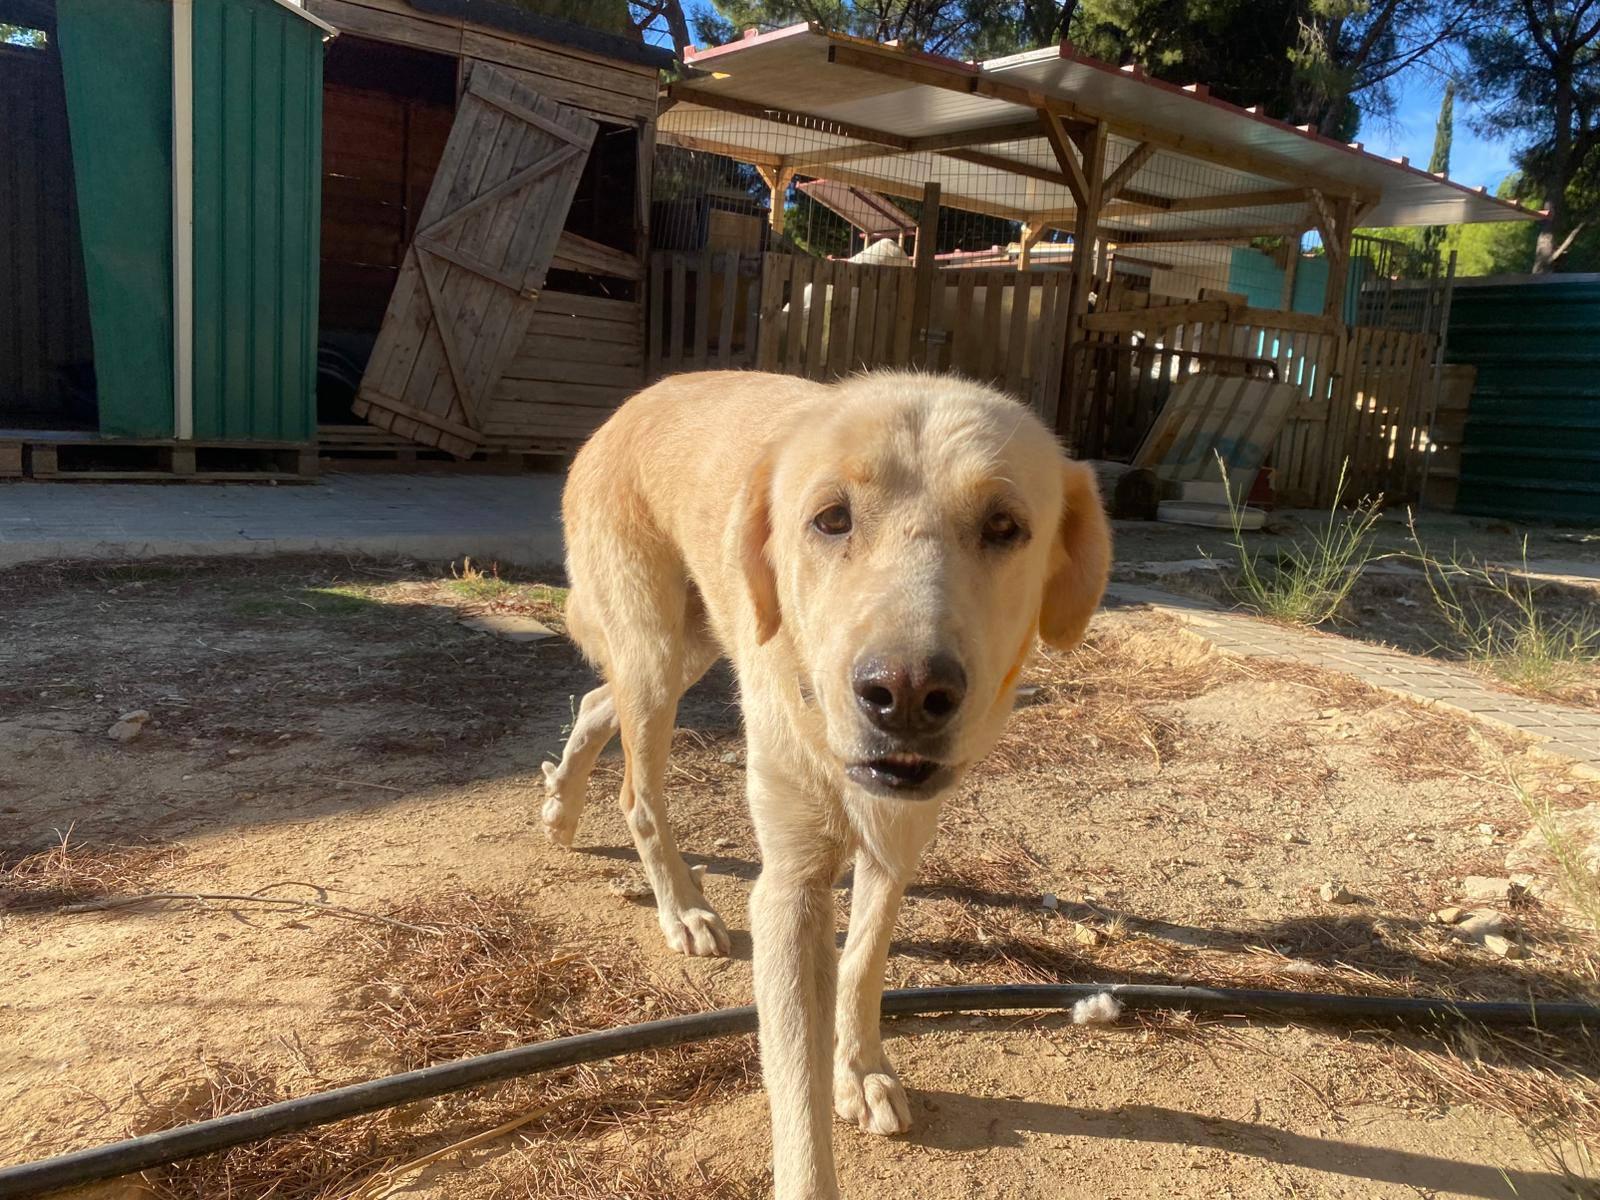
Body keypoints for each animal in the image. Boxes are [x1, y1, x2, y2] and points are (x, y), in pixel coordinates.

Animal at [541, 370, 1111, 1199]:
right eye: (831, 520)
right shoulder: (791, 890)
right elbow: (797, 1100)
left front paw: (860, 1069)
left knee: (592, 699)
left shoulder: (898, 842)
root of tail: (635, 402)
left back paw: (561, 806)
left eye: (1004, 526)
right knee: (638, 791)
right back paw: (680, 906)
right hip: (657, 654)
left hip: (692, 644)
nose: (904, 695)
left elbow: (863, 962)